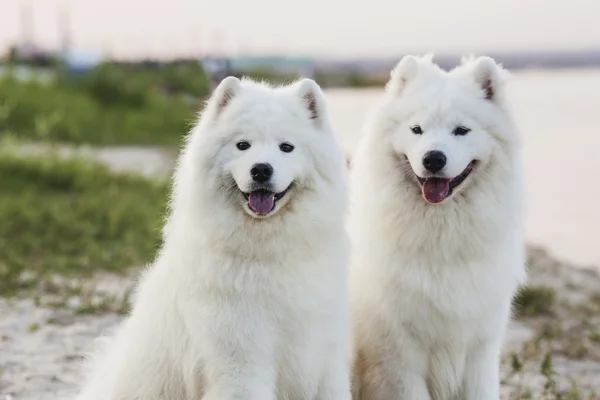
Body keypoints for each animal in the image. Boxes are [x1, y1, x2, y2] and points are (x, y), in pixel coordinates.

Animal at [74, 77, 352, 400]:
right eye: (242, 145)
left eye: (287, 147)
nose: (261, 169)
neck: (270, 253)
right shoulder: (242, 364)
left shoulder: (326, 356)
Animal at [350, 56, 528, 400]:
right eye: (416, 129)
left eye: (461, 131)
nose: (433, 159)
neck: (441, 237)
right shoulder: (398, 361)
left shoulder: (479, 353)